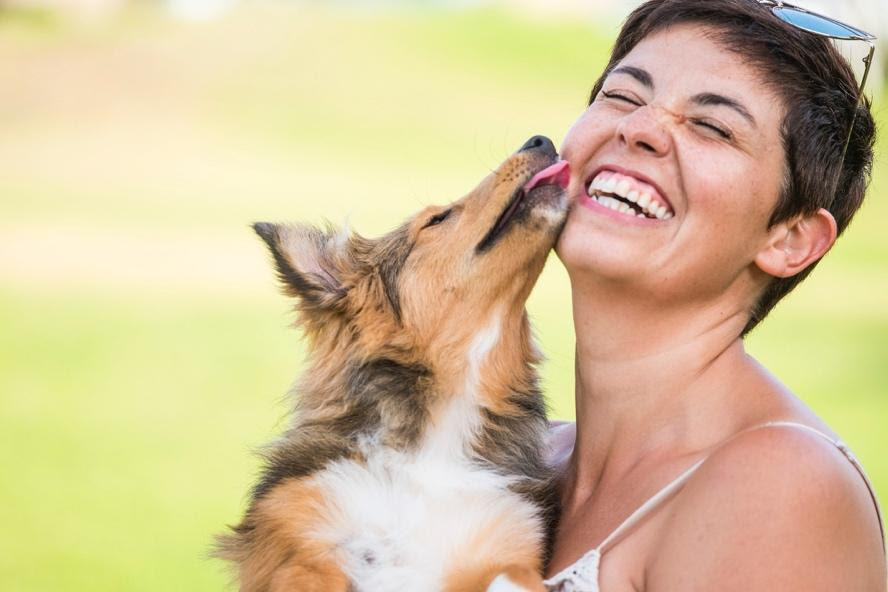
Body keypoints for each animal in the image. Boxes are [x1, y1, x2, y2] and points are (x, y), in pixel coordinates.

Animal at [219, 135, 572, 592]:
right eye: (437, 219)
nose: (541, 140)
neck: (433, 449)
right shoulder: (298, 547)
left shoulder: (506, 542)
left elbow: (513, 576)